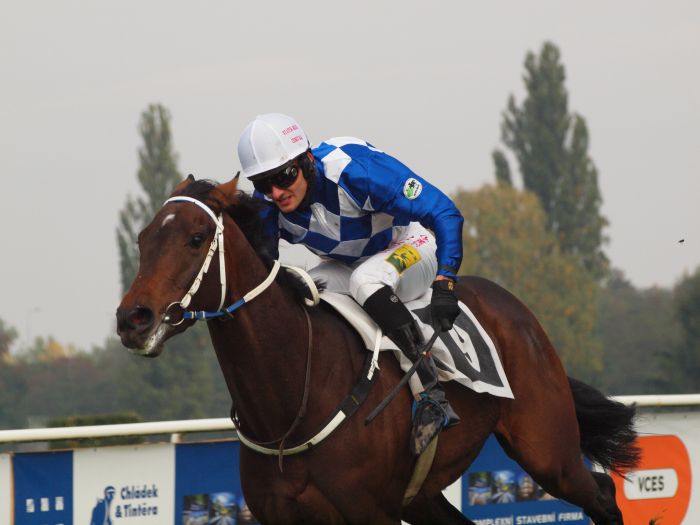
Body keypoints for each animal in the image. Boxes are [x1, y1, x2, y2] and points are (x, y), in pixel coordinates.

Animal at [117, 175, 644, 524]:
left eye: (195, 238)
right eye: (142, 239)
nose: (133, 318)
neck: (292, 402)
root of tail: (514, 306)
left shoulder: (371, 514)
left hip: (547, 450)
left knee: (600, 491)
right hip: (425, 496)